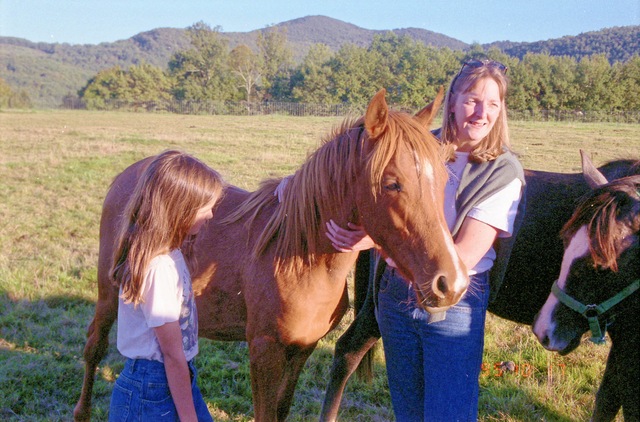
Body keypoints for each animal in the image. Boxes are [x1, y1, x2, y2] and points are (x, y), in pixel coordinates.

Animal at [73, 88, 469, 422]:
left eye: (444, 180)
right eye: (392, 183)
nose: (451, 282)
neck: (300, 259)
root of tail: (131, 174)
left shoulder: (302, 349)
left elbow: (280, 410)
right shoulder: (264, 350)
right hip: (109, 294)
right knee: (94, 347)